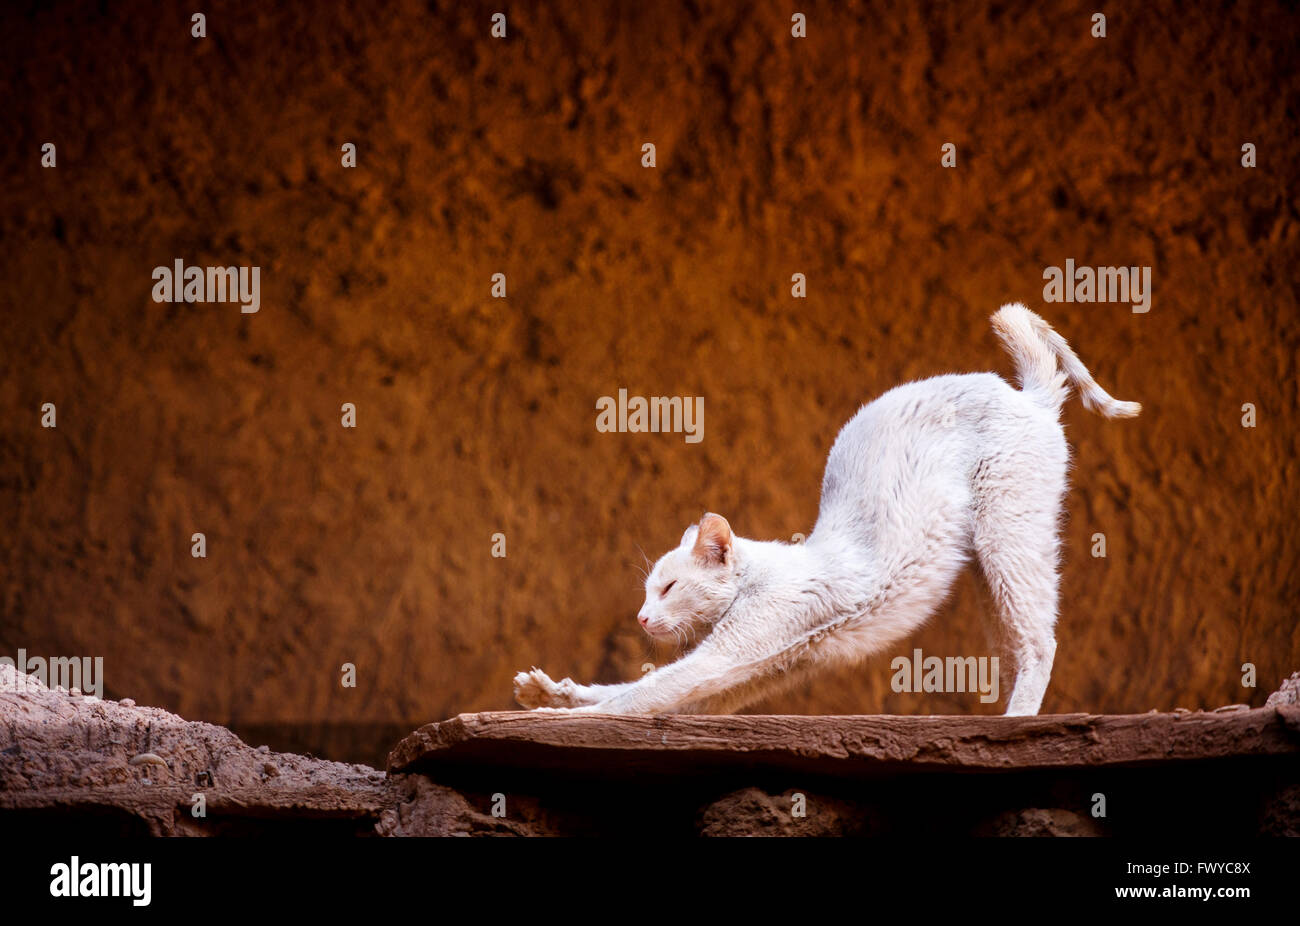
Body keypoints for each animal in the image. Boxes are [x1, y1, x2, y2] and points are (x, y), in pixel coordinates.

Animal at [512, 304, 1144, 717]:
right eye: (647, 593)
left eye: (666, 589)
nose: (642, 619)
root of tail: (1025, 395)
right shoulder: (745, 676)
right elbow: (627, 694)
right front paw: (549, 691)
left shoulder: (728, 655)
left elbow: (632, 698)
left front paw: (554, 715)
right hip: (989, 574)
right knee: (1015, 647)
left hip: (1008, 536)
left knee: (1040, 643)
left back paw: (1014, 725)